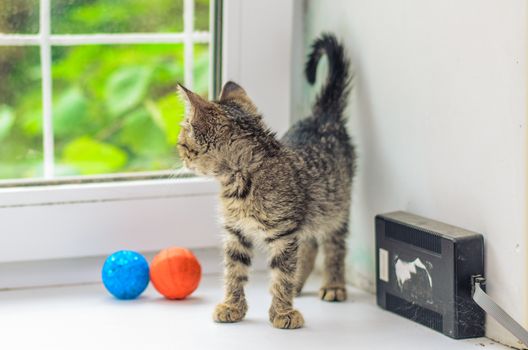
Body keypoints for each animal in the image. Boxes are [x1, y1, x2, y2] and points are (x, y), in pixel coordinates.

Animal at [177, 32, 354, 328]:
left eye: (182, 142)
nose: (177, 154)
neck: (238, 184)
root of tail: (322, 117)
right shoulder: (235, 233)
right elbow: (234, 271)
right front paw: (232, 306)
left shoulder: (284, 233)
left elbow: (281, 274)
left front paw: (283, 312)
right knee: (309, 244)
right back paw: (299, 283)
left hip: (337, 204)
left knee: (333, 245)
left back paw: (333, 284)